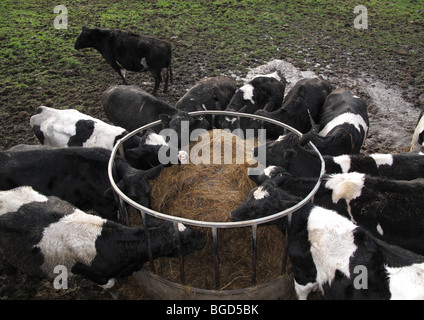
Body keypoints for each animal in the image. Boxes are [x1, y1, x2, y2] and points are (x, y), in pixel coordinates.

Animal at [230, 180, 424, 300]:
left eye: (257, 208)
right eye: (249, 193)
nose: (232, 214)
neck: (303, 224)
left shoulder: (303, 273)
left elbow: (301, 293)